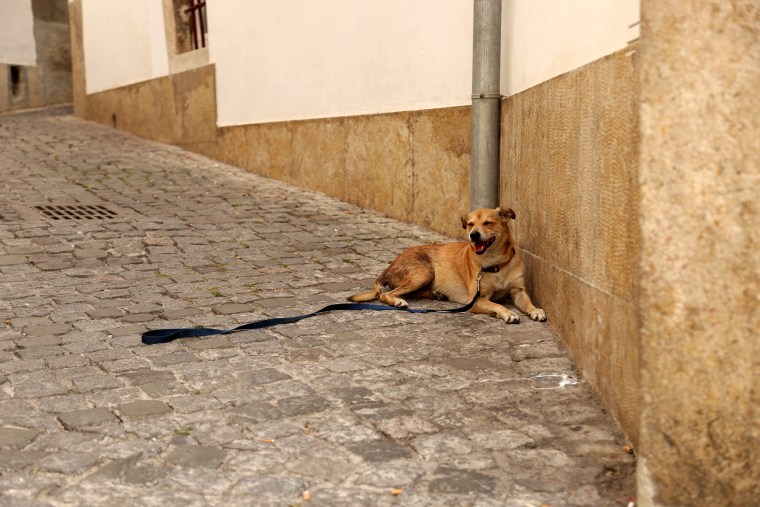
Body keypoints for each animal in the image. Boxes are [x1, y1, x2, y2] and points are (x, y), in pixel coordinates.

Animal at [350, 207, 548, 324]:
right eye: (470, 224)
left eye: (488, 223)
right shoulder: (476, 299)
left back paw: (438, 295)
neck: (494, 263)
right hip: (423, 273)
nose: (473, 235)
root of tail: (389, 266)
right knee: (387, 294)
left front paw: (535, 310)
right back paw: (399, 300)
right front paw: (508, 312)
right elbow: (496, 305)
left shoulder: (518, 291)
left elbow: (528, 302)